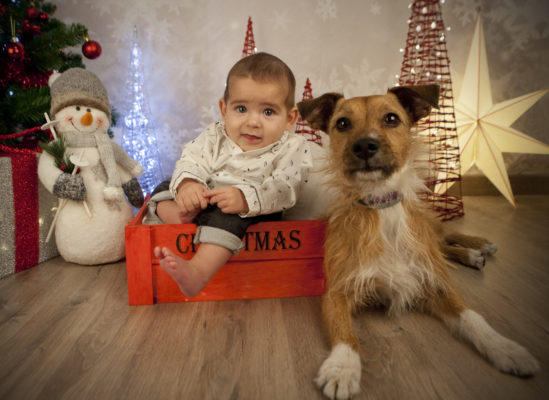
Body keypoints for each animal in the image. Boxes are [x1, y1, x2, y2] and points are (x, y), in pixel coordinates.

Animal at [298, 85, 536, 400]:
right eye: (342, 123)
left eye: (391, 118)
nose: (365, 146)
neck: (382, 204)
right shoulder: (337, 290)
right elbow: (344, 332)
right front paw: (343, 367)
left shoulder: (436, 284)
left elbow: (473, 316)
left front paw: (504, 347)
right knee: (443, 245)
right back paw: (472, 255)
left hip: (427, 229)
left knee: (444, 236)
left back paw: (477, 245)